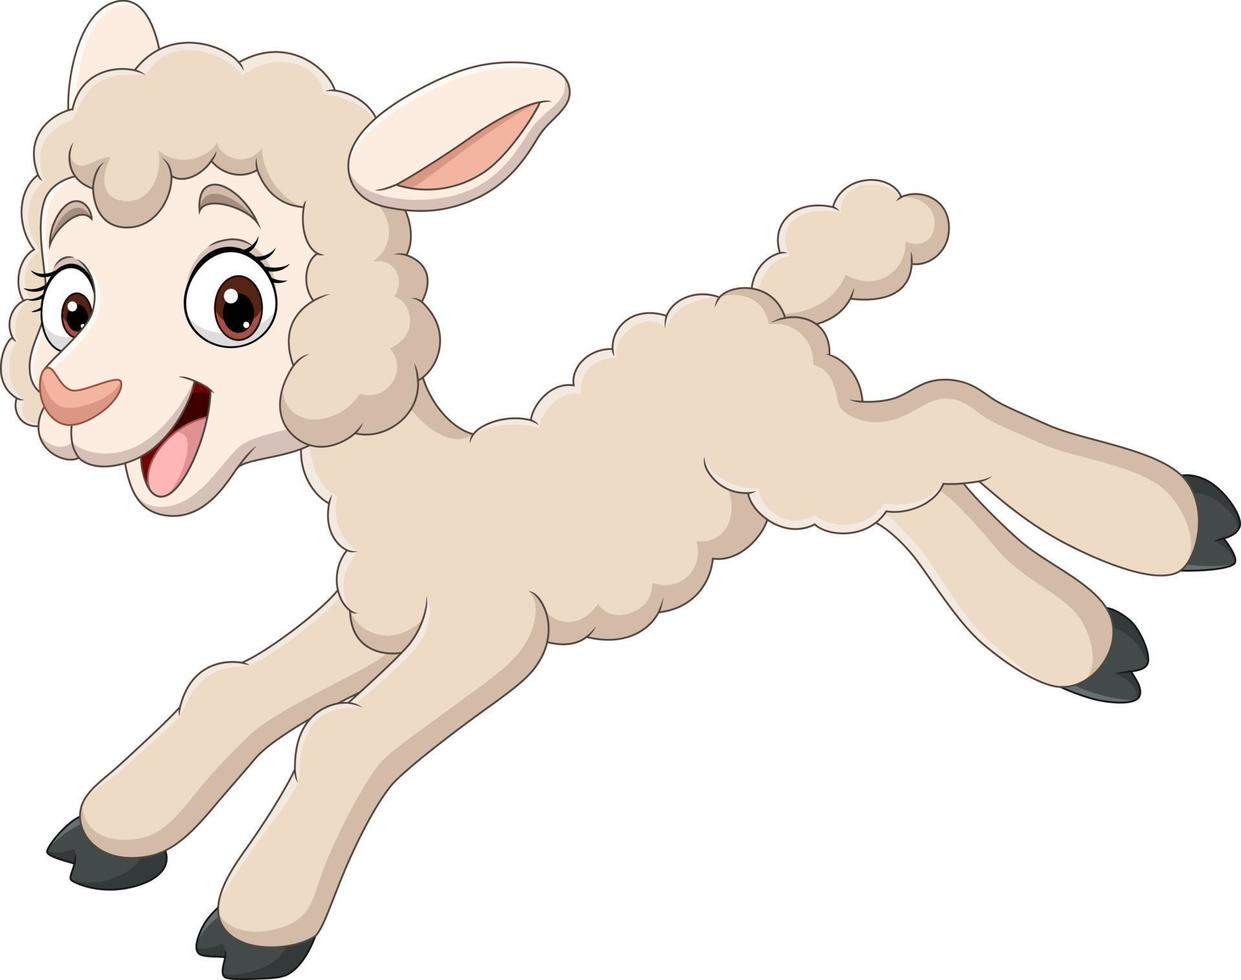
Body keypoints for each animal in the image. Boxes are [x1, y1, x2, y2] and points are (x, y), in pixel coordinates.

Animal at [6, 3, 1237, 978]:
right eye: (70, 298)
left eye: (236, 302)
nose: (71, 394)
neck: (417, 492)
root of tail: (764, 300)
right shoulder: (371, 615)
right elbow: (234, 686)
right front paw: (114, 830)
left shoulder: (486, 630)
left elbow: (342, 734)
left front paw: (259, 917)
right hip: (803, 471)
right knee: (921, 487)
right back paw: (1084, 640)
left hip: (808, 459)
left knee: (950, 413)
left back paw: (1176, 525)